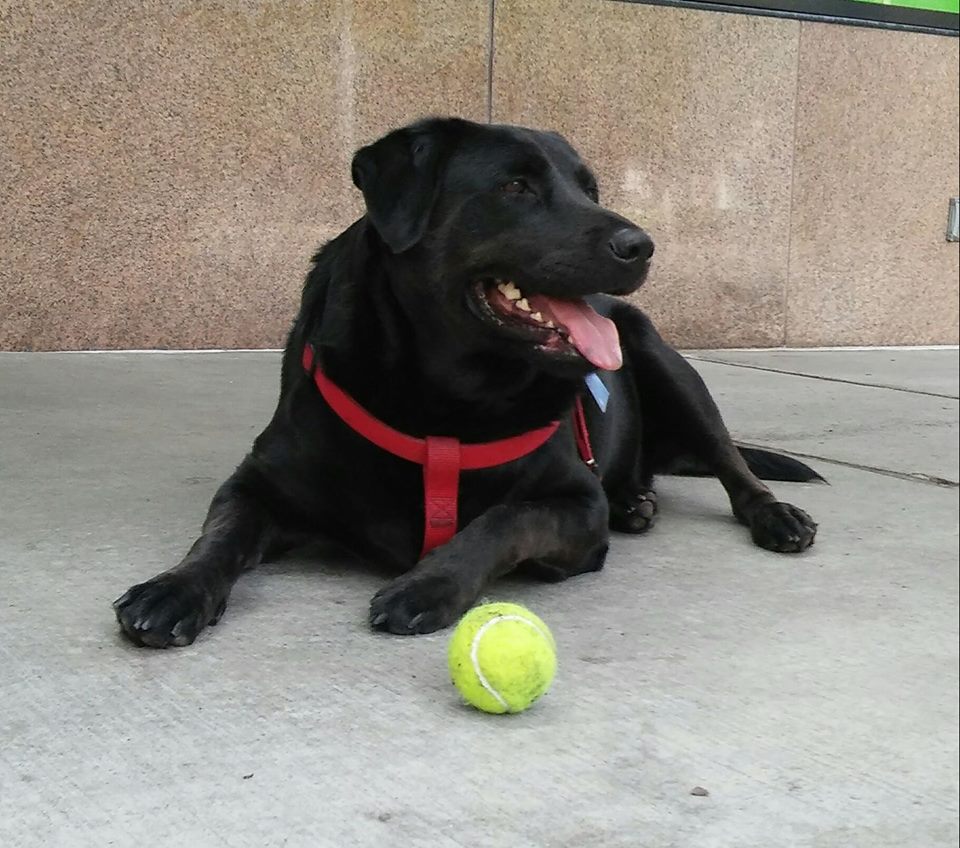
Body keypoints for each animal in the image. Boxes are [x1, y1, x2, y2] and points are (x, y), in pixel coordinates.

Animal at [112, 117, 816, 648]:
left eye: (589, 189)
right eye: (515, 186)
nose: (641, 246)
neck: (443, 396)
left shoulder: (573, 504)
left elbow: (504, 520)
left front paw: (429, 583)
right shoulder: (259, 482)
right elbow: (219, 536)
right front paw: (174, 588)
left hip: (663, 360)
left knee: (730, 463)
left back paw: (770, 513)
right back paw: (634, 503)